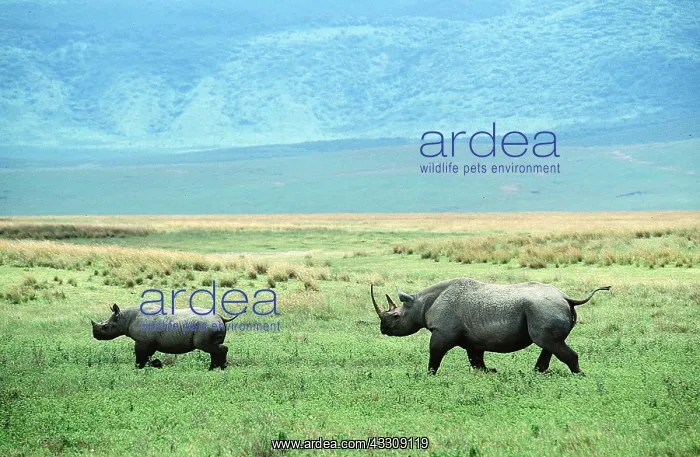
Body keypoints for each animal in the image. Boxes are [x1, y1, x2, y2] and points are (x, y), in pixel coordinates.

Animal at [91, 304, 238, 370]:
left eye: (105, 327)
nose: (95, 335)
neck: (124, 319)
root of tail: (220, 317)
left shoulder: (143, 341)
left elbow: (140, 356)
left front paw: (139, 368)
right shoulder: (149, 342)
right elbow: (147, 356)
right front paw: (156, 364)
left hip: (207, 326)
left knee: (208, 347)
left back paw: (218, 368)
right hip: (210, 325)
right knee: (212, 348)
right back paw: (214, 368)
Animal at [371, 278, 611, 375]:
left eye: (395, 317)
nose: (383, 329)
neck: (420, 304)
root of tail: (566, 297)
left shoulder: (442, 332)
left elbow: (435, 354)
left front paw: (429, 375)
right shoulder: (472, 338)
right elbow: (476, 360)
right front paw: (491, 372)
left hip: (544, 307)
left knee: (549, 342)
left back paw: (579, 376)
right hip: (545, 308)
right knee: (550, 343)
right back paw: (537, 374)